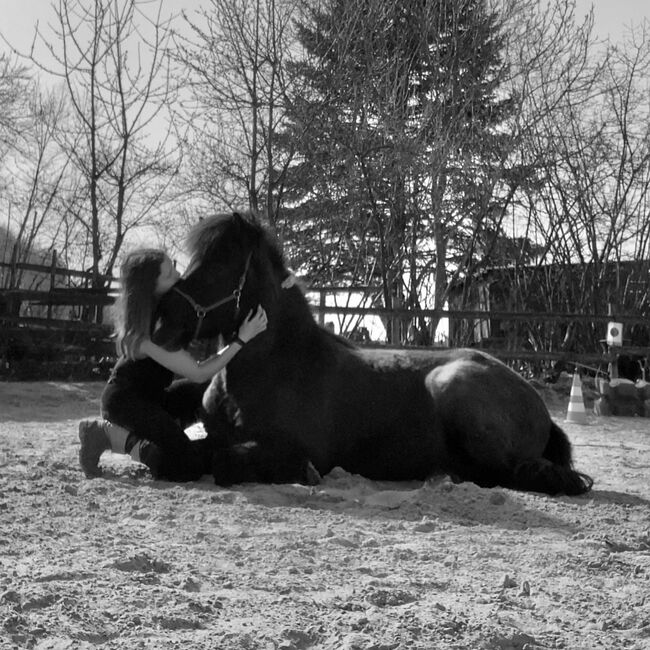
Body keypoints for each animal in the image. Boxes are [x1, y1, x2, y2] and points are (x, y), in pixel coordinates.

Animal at [152, 210, 592, 494]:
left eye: (219, 264)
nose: (162, 316)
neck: (278, 365)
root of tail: (533, 400)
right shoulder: (215, 436)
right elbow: (178, 455)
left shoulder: (293, 448)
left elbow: (225, 462)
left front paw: (304, 474)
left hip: (458, 389)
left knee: (510, 472)